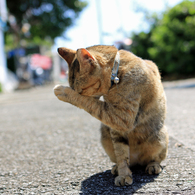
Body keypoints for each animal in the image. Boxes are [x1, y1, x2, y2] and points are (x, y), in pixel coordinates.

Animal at [53, 45, 169, 186]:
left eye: (80, 91)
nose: (76, 91)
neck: (117, 73)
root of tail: (136, 161)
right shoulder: (116, 127)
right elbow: (121, 154)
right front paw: (124, 174)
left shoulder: (122, 118)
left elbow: (90, 102)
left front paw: (64, 91)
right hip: (105, 134)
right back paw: (117, 168)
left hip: (159, 136)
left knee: (156, 158)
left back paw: (153, 165)